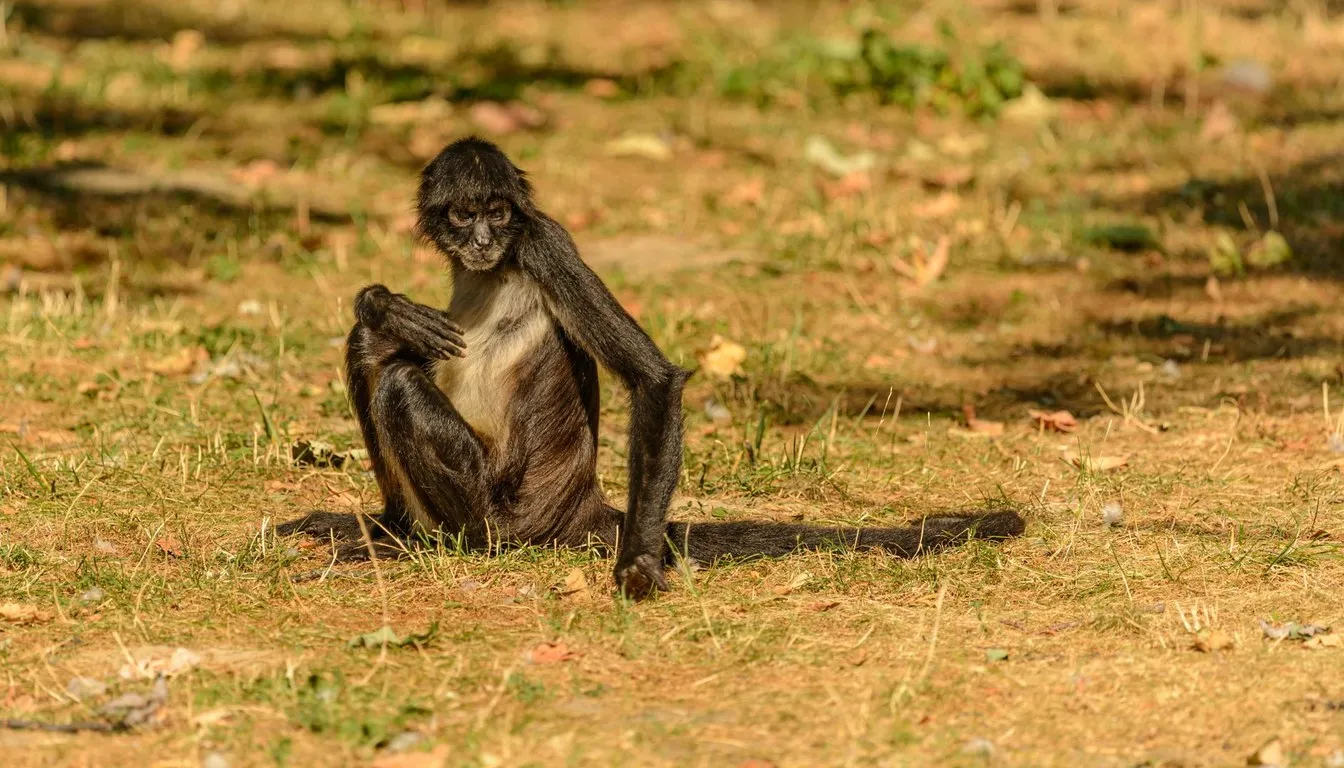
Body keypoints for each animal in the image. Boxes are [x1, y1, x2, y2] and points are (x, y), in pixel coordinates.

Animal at [277, 137, 1024, 599]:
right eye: (463, 217)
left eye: (496, 213)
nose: (485, 239)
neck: (497, 265)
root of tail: (574, 505)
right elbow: (384, 324)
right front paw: (384, 302)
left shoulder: (545, 242)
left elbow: (654, 378)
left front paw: (638, 563)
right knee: (373, 347)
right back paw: (390, 527)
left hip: (504, 515)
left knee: (401, 383)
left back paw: (435, 547)